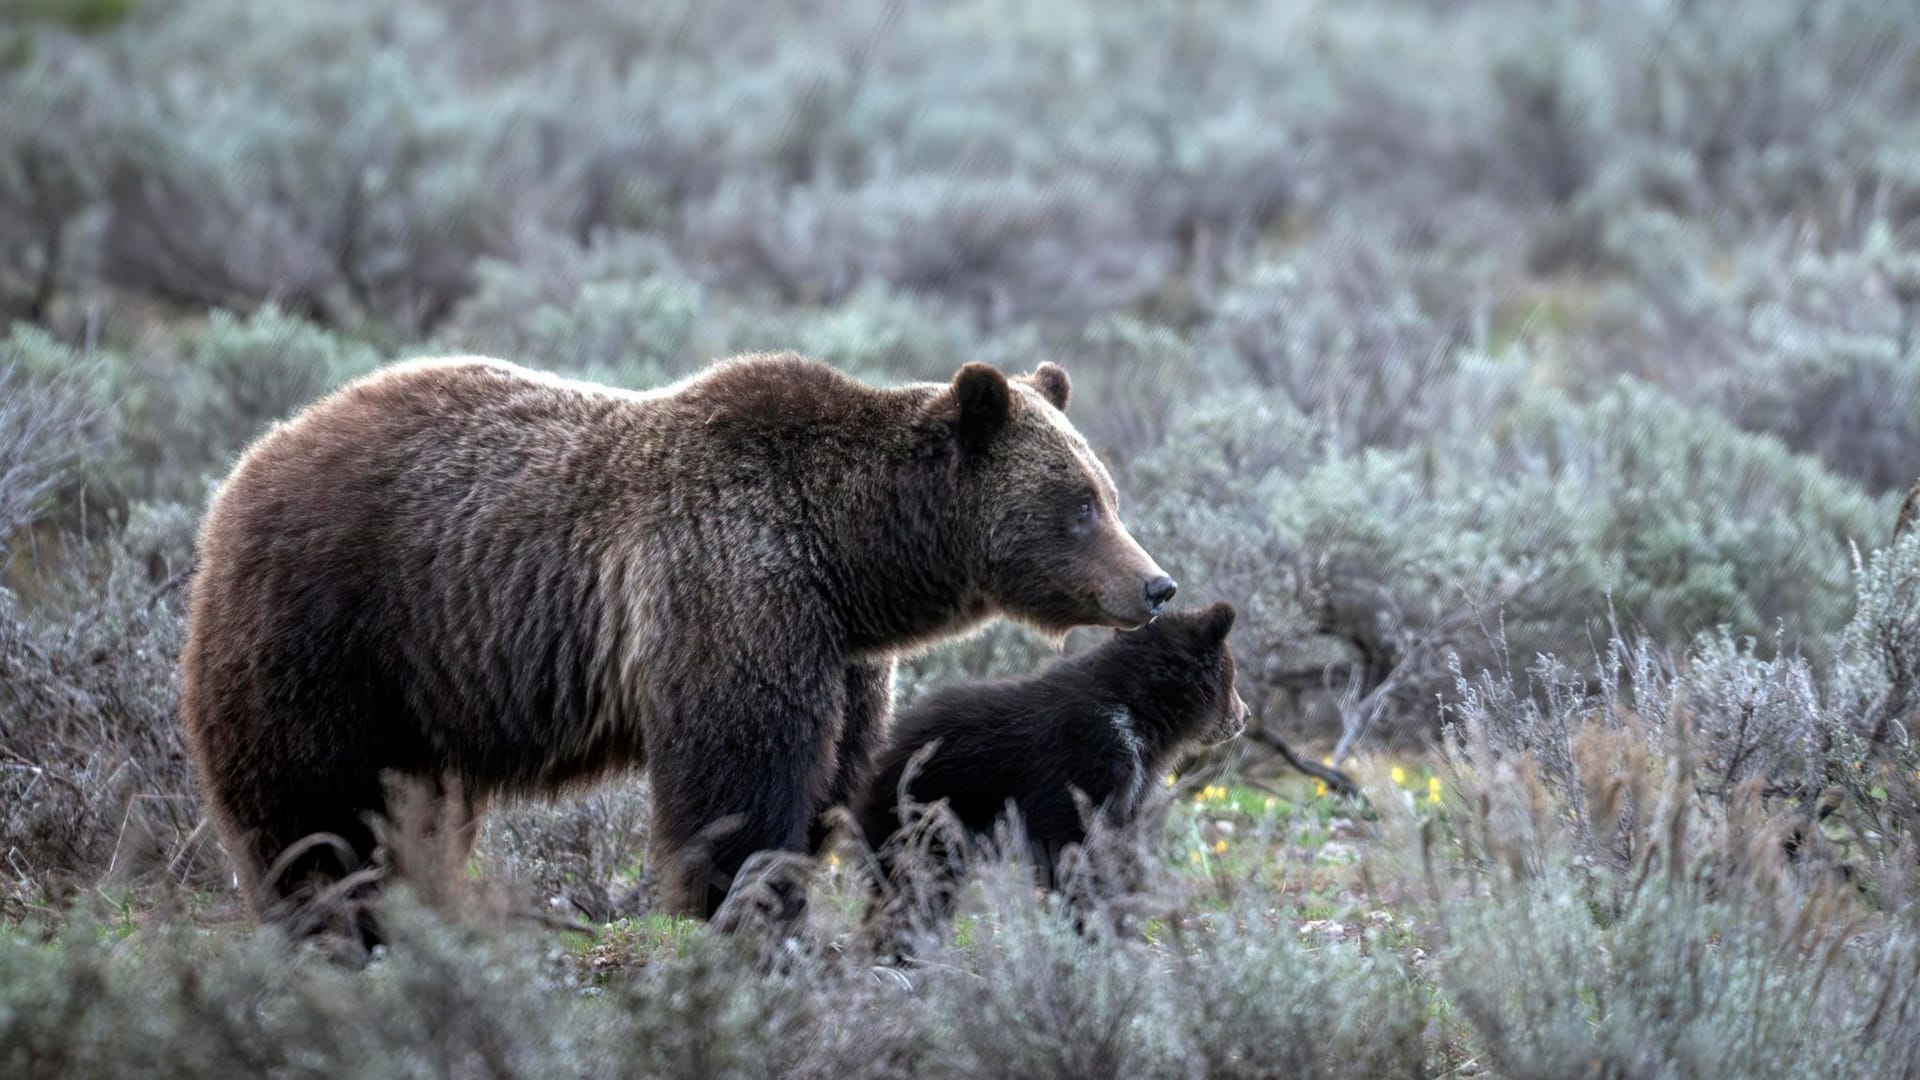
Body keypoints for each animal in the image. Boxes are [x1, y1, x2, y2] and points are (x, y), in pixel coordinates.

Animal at [183, 353, 1167, 926]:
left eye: (1108, 493)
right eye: (1079, 504)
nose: (1155, 585)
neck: (849, 559)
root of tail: (247, 463)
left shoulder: (840, 654)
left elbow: (829, 778)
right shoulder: (733, 586)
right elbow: (738, 773)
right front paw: (744, 905)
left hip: (419, 691)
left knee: (411, 806)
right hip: (333, 628)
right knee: (312, 799)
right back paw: (328, 912)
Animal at [852, 599, 1244, 930]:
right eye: (1233, 676)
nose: (1245, 716)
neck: (1137, 715)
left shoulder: (1129, 783)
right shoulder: (1085, 761)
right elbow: (1076, 846)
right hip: (930, 810)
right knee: (915, 879)